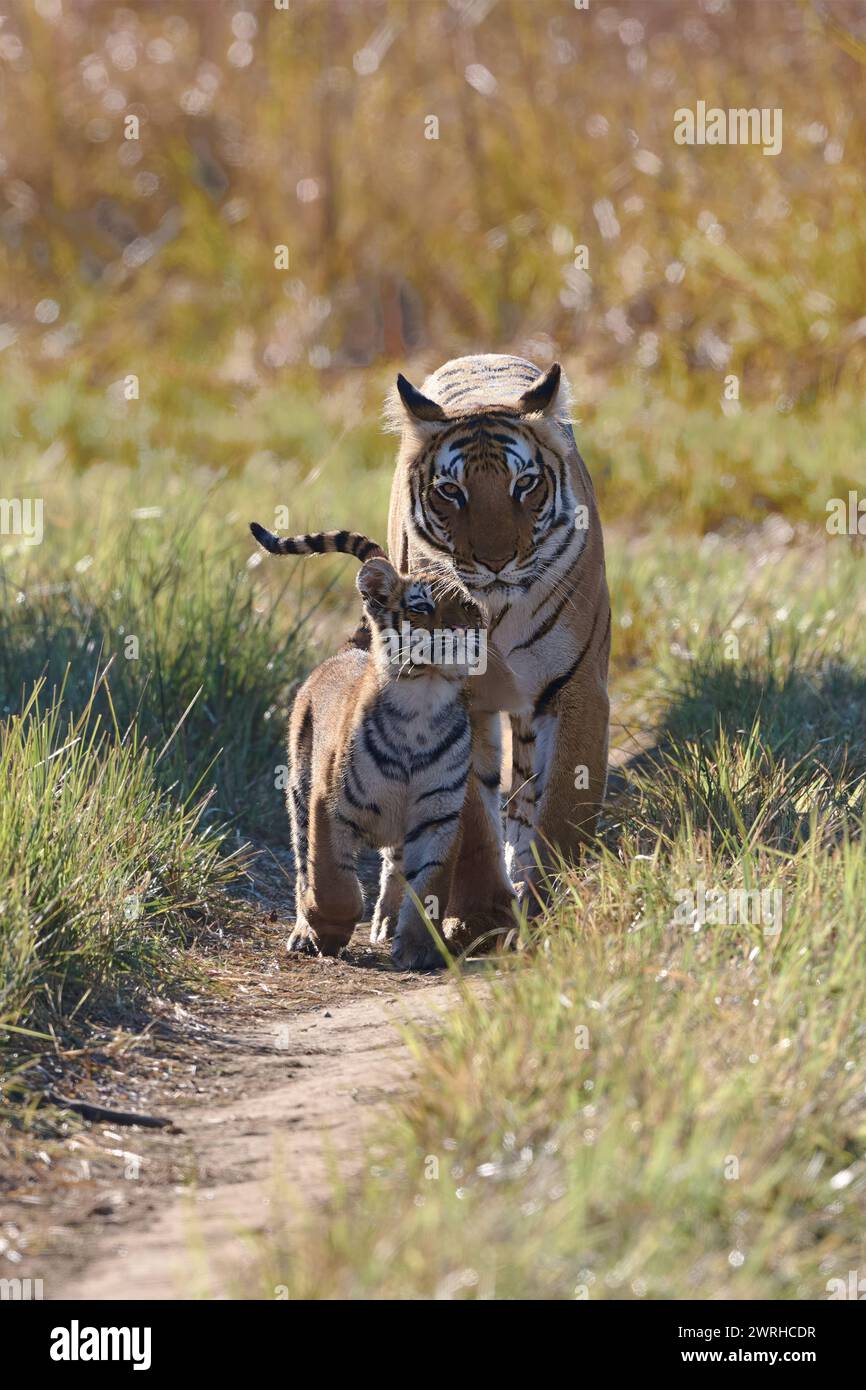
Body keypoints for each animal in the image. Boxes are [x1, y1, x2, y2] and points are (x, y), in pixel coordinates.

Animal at [386, 350, 608, 945]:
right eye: (451, 491)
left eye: (524, 484)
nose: (495, 561)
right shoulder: (454, 702)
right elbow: (470, 819)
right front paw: (481, 916)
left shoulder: (576, 688)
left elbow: (561, 808)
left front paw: (552, 904)